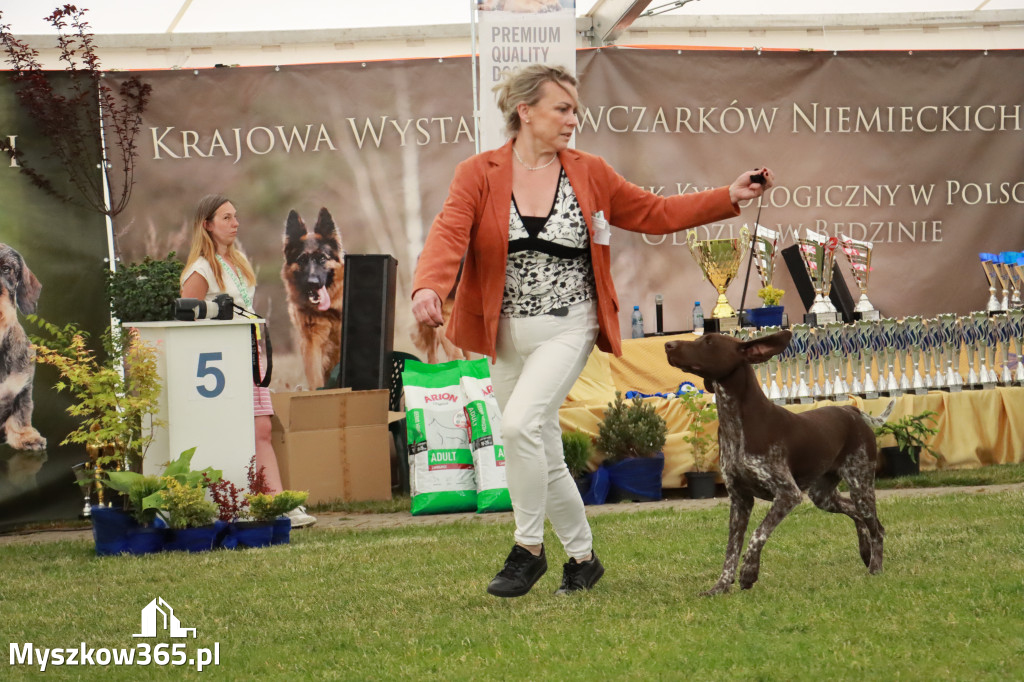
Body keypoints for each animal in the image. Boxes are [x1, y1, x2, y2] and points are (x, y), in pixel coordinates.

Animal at [667, 327, 884, 589]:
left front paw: (749, 572)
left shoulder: (787, 494)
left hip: (860, 485)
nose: (668, 345)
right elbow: (731, 549)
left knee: (877, 529)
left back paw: (875, 567)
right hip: (822, 495)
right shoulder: (739, 501)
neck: (736, 424)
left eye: (709, 341)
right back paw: (865, 551)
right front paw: (721, 586)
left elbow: (757, 535)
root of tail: (850, 409)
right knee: (857, 515)